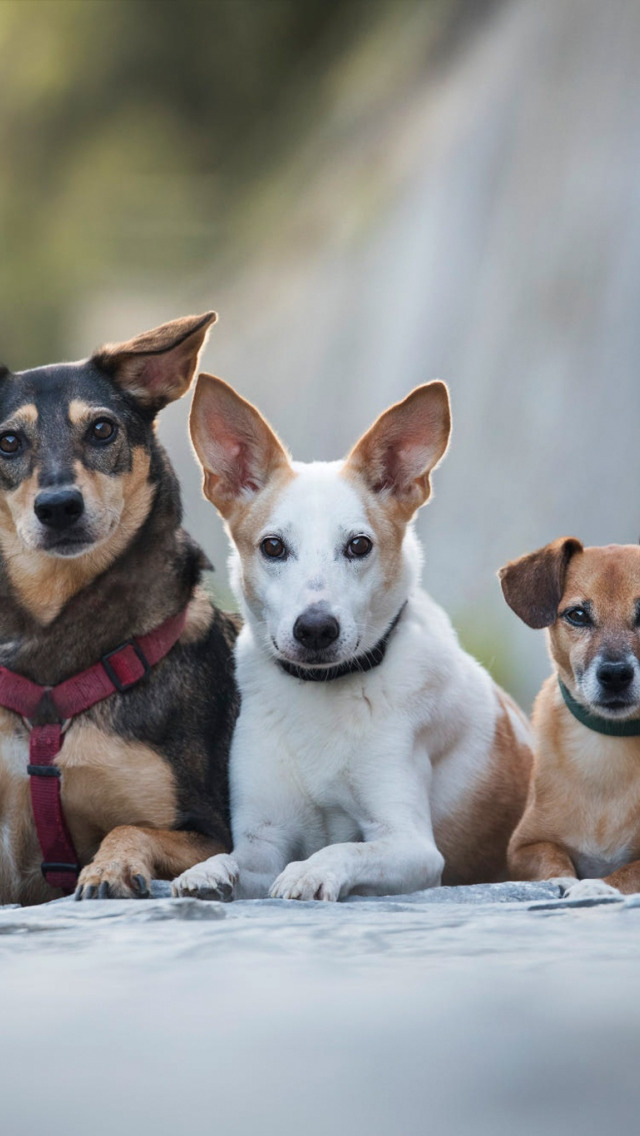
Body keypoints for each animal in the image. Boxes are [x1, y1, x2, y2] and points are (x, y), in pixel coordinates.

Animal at [0, 308, 238, 904]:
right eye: (8, 441)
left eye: (102, 429)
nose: (59, 506)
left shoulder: (211, 829)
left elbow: (132, 825)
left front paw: (108, 867)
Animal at [172, 377, 534, 899]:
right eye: (273, 546)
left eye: (359, 545)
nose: (316, 629)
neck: (321, 694)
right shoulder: (263, 840)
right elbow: (236, 859)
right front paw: (206, 871)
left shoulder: (411, 846)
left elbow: (342, 849)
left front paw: (308, 872)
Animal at [502, 540, 640, 895]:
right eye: (577, 615)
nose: (615, 675)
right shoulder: (522, 847)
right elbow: (549, 855)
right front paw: (562, 878)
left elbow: (631, 869)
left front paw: (599, 886)